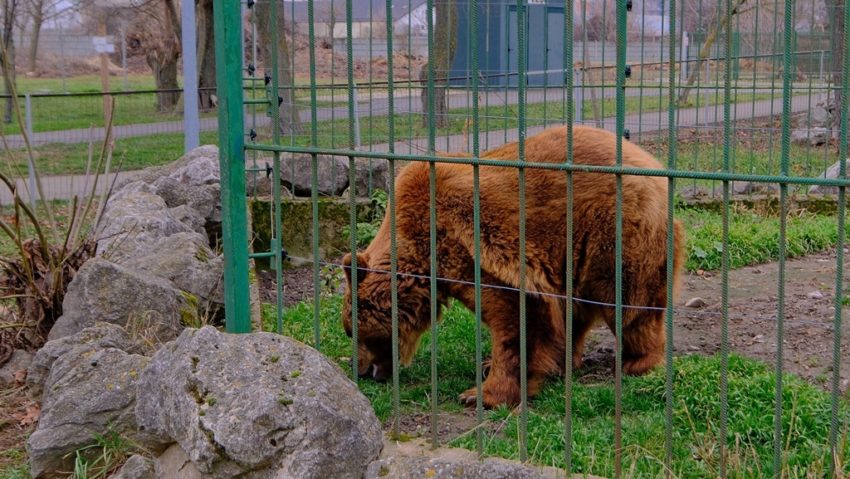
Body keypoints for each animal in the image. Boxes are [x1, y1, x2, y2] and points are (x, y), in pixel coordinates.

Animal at [340, 124, 684, 408]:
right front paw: (490, 372)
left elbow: (516, 320)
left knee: (627, 303)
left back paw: (637, 362)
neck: (423, 255)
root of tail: (651, 162)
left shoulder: (479, 248)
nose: (361, 371)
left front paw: (481, 394)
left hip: (614, 229)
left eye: (350, 331)